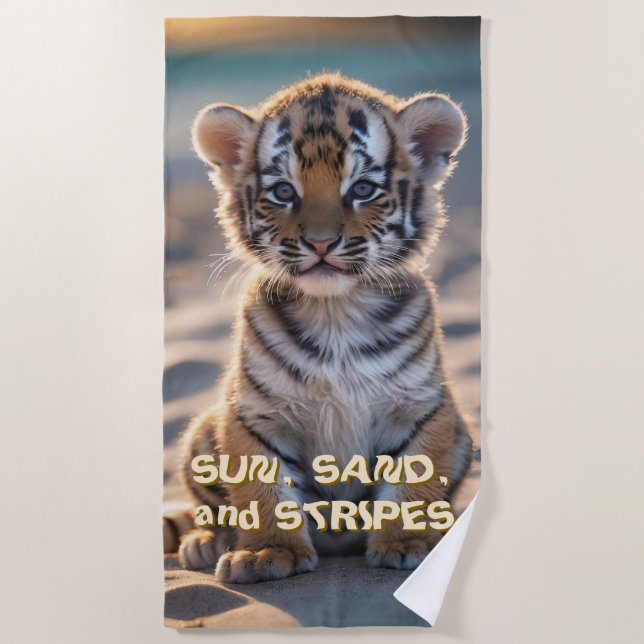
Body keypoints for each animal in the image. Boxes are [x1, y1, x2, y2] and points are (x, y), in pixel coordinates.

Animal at [169, 73, 474, 583]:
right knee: (208, 510)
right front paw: (267, 551)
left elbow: (412, 484)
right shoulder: (255, 414)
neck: (336, 313)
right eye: (283, 192)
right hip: (201, 432)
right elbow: (261, 491)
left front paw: (407, 542)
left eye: (364, 189)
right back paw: (204, 544)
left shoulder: (420, 407)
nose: (320, 243)